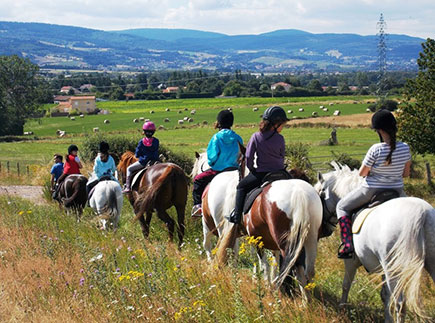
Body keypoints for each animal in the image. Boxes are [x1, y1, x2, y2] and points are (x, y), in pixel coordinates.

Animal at [316, 163, 434, 322]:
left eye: (320, 196)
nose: (323, 230)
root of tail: (421, 214)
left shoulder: (351, 261)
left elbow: (346, 285)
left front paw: (342, 310)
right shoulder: (382, 268)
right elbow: (385, 295)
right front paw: (387, 319)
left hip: (394, 269)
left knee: (400, 304)